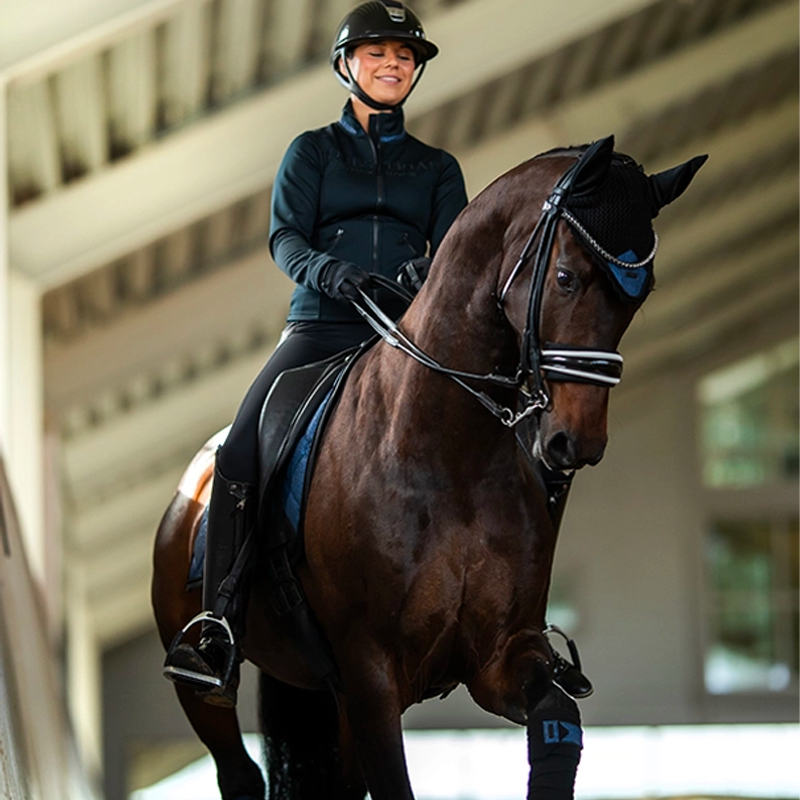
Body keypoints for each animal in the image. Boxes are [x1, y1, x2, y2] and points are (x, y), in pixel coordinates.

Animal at [152, 139, 708, 800]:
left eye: (640, 292)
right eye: (566, 277)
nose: (578, 442)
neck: (448, 452)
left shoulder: (500, 657)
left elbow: (556, 717)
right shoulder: (370, 679)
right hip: (210, 688)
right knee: (236, 767)